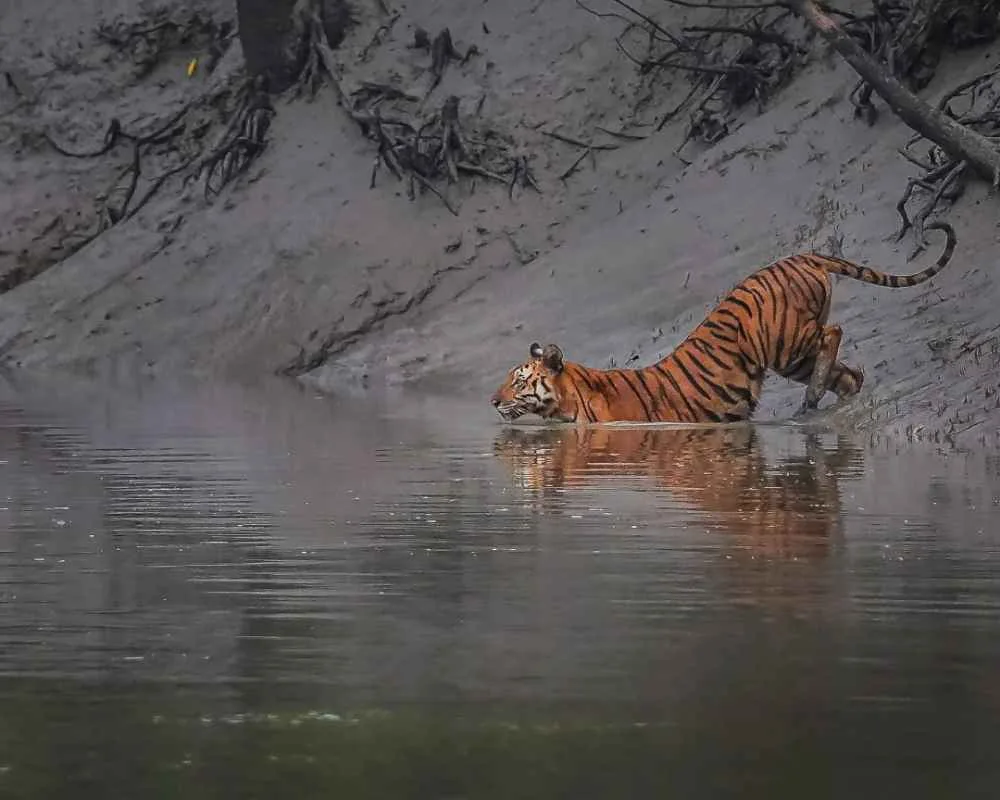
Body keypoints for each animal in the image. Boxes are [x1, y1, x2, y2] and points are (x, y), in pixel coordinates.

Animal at [490, 223, 956, 423]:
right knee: (851, 374)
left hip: (787, 342)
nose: (492, 402)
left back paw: (813, 397)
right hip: (796, 356)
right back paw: (821, 401)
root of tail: (803, 256)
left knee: (834, 333)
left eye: (519, 380)